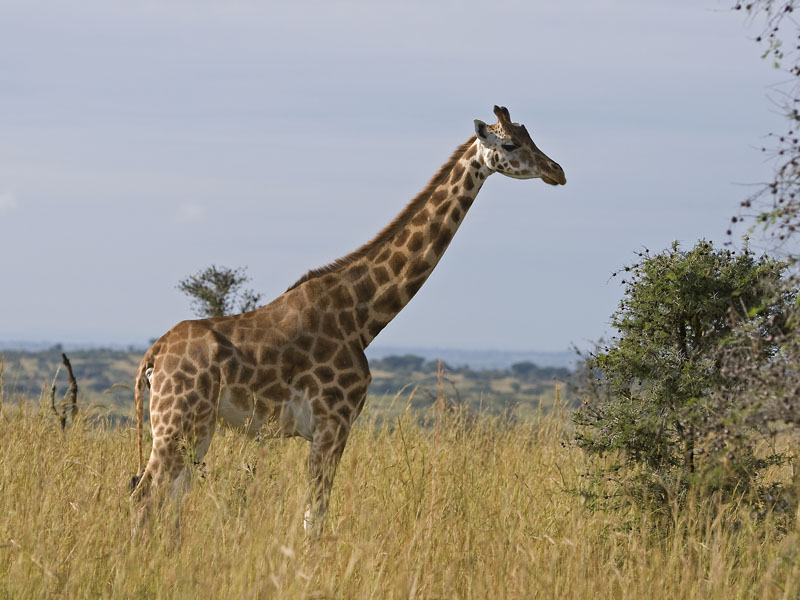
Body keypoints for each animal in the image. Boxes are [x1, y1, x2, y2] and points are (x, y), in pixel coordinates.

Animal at [131, 105, 564, 532]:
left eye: (529, 136)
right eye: (510, 143)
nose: (556, 171)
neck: (361, 314)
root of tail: (154, 355)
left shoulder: (328, 427)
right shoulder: (332, 423)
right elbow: (315, 518)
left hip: (195, 426)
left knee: (168, 500)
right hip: (176, 420)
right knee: (143, 495)